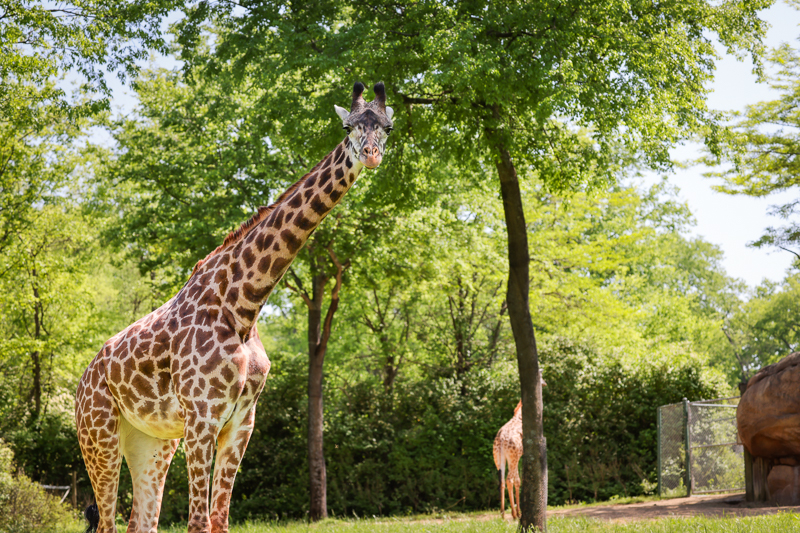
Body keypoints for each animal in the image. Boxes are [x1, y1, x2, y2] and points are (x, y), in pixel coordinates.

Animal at [75, 81, 395, 533]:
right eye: (348, 126)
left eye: (386, 126)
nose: (370, 154)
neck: (245, 305)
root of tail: (84, 379)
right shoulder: (202, 418)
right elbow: (197, 522)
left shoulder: (242, 422)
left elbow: (219, 520)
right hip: (99, 436)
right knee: (107, 522)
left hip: (152, 442)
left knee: (142, 521)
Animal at [493, 375, 546, 520]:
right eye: (542, 377)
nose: (545, 384)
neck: (520, 416)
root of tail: (501, 439)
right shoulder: (519, 455)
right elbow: (518, 479)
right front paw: (519, 511)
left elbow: (518, 479)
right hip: (512, 457)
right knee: (509, 479)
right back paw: (514, 514)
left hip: (500, 457)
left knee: (502, 481)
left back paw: (503, 514)